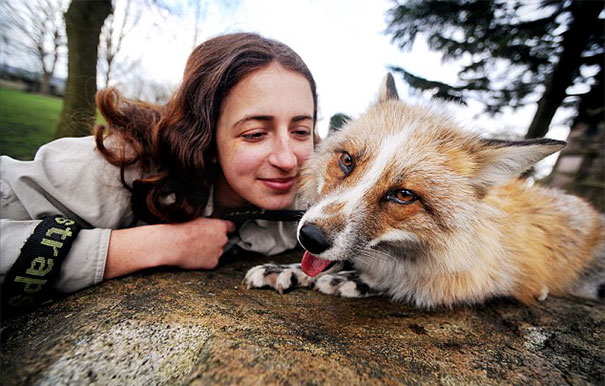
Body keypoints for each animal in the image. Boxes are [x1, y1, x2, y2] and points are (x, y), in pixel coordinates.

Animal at [243, 72, 600, 308]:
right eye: (346, 161)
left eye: (404, 195)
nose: (310, 237)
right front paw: (289, 270)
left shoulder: (480, 269)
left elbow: (412, 281)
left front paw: (355, 280)